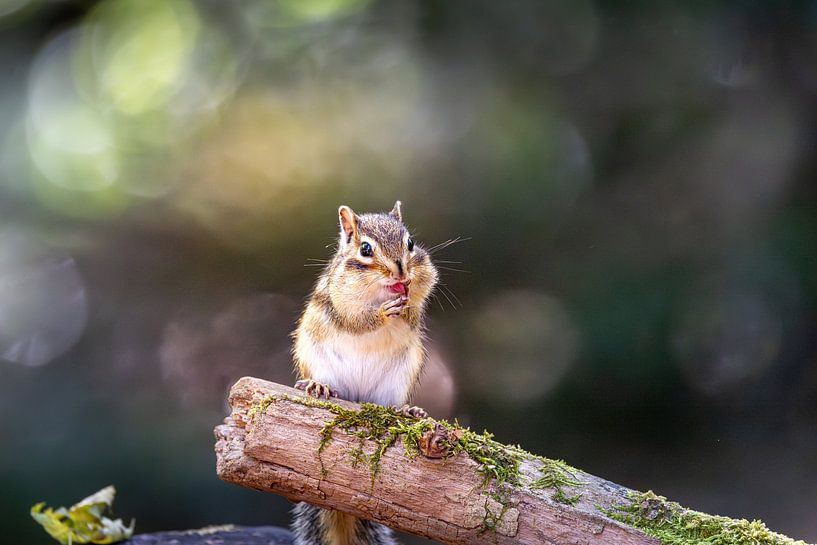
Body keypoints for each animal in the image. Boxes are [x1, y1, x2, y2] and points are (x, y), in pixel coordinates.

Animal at [290, 201, 438, 545]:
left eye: (411, 243)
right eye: (366, 249)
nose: (401, 273)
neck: (381, 290)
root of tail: (357, 398)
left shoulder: (425, 274)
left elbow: (419, 299)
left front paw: (407, 302)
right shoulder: (341, 298)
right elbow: (357, 319)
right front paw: (382, 313)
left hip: (399, 378)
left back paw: (407, 409)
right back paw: (317, 386)